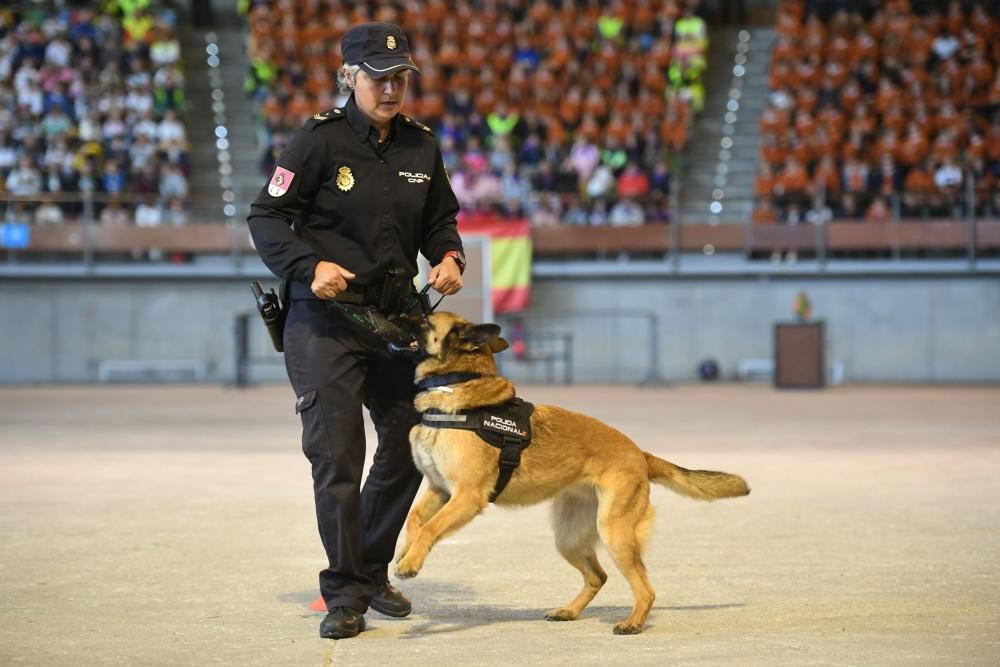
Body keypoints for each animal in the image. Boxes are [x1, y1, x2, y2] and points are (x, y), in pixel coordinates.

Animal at [392, 314, 752, 636]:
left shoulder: (466, 496)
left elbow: (430, 529)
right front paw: (404, 554)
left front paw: (411, 563)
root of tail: (640, 453)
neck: (454, 388)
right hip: (569, 539)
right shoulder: (440, 491)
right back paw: (570, 611)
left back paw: (633, 623)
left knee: (645, 588)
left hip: (614, 533)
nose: (395, 316)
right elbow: (414, 521)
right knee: (598, 577)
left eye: (423, 320)